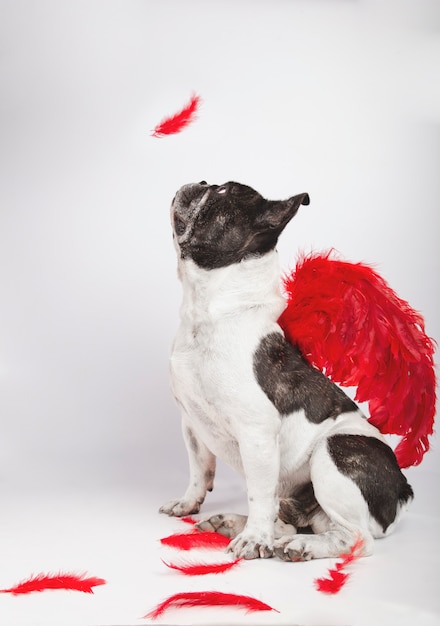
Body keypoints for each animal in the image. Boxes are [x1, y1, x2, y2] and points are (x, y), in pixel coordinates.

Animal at [160, 180, 414, 560]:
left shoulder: (257, 433)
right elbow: (198, 469)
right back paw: (235, 522)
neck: (210, 311)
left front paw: (253, 540)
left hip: (334, 452)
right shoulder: (192, 423)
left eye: (221, 193)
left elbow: (258, 493)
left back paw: (298, 545)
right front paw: (188, 503)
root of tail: (402, 491)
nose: (202, 182)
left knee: (354, 538)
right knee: (288, 519)